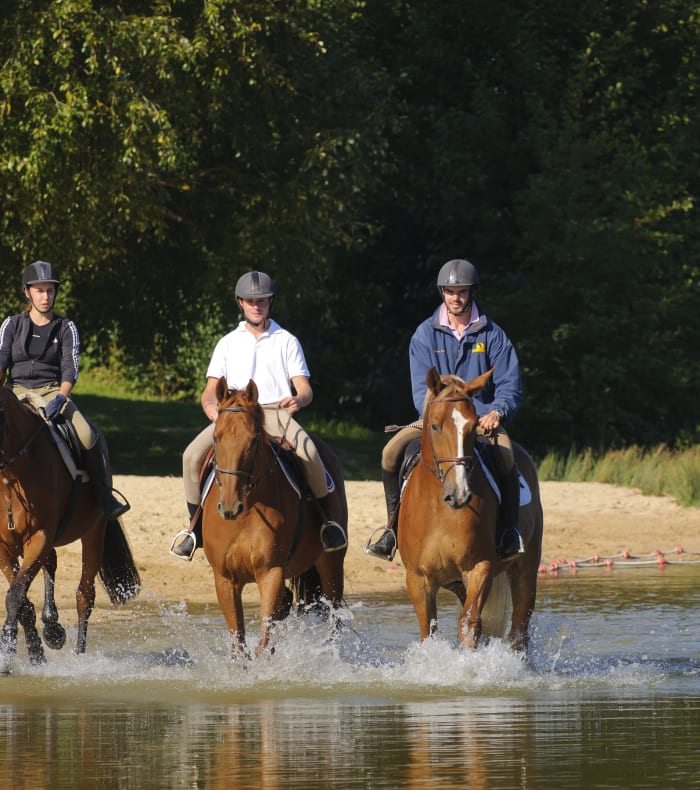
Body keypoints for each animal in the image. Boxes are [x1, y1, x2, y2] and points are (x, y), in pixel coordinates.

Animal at [0, 384, 140, 672]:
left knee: (84, 596)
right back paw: (52, 627)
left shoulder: (39, 538)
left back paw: (79, 654)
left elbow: (15, 595)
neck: (11, 475)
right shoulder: (4, 546)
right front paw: (36, 654)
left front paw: (7, 653)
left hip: (94, 532)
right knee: (51, 564)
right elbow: (22, 601)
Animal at [202, 377, 347, 658]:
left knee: (334, 618)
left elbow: (264, 642)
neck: (246, 510)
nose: (229, 507)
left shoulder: (271, 573)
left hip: (331, 565)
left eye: (252, 441)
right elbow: (239, 645)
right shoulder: (224, 579)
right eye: (216, 437)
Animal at [397, 367, 543, 652]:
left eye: (473, 426)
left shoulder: (479, 567)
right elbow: (428, 631)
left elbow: (469, 623)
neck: (439, 512)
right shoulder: (418, 578)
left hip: (526, 569)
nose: (460, 494)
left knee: (519, 630)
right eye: (434, 426)